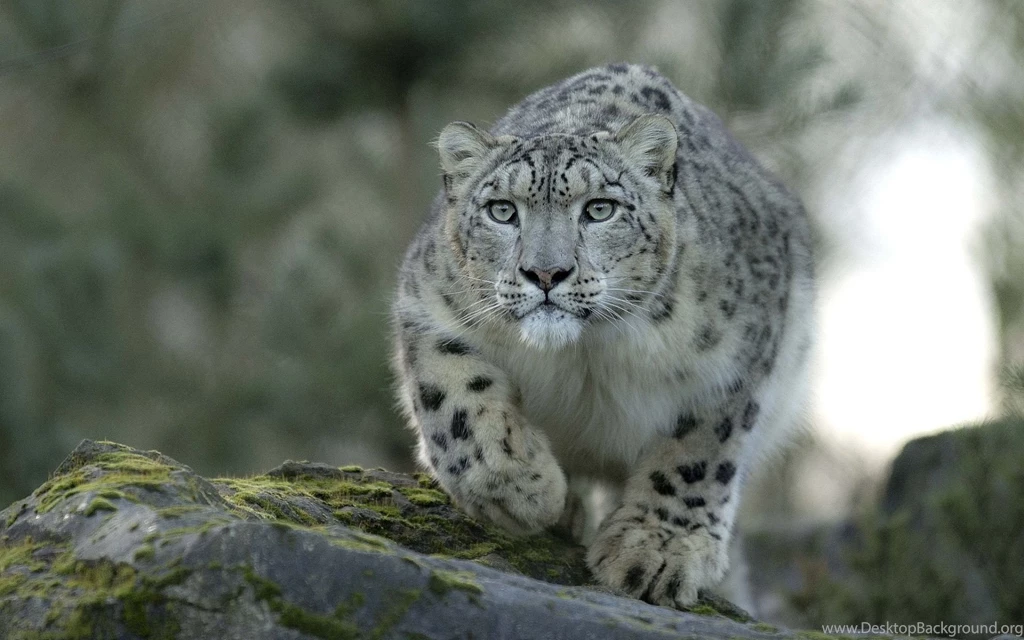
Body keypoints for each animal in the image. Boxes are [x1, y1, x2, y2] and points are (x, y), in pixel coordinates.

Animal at [391, 63, 814, 609]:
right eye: (502, 210)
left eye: (599, 209)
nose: (545, 273)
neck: (584, 354)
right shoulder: (427, 306)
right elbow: (456, 399)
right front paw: (522, 488)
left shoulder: (737, 360)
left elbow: (699, 452)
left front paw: (656, 551)